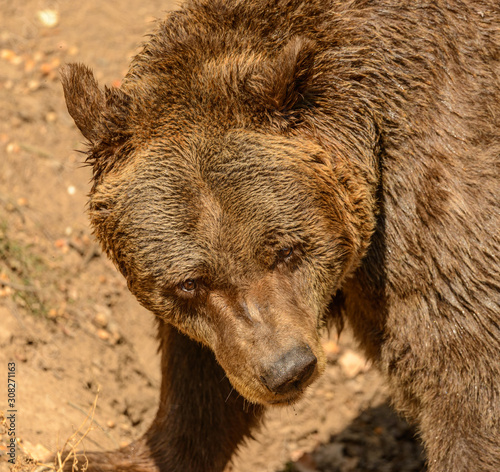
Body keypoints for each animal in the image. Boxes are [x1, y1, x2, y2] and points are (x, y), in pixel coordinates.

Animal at [61, 0, 500, 470]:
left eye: (287, 251)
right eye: (190, 283)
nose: (287, 370)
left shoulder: (434, 209)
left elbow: (465, 372)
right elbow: (201, 375)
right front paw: (114, 455)